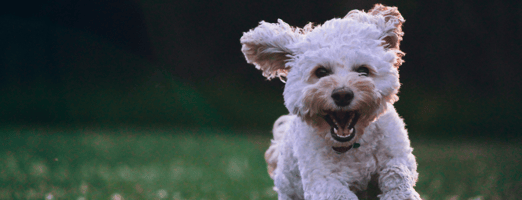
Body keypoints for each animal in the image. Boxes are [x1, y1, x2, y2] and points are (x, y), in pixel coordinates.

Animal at [242, 3, 420, 200]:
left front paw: (401, 194)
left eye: (363, 71)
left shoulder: (398, 154)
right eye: (321, 72)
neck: (352, 146)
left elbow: (397, 172)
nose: (342, 95)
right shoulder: (322, 181)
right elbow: (340, 193)